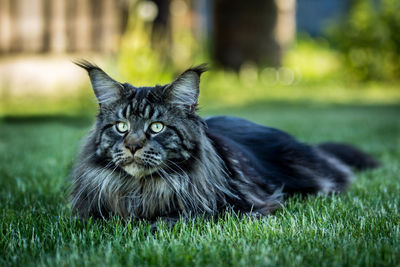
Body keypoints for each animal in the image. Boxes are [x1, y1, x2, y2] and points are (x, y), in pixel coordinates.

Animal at [70, 61, 380, 224]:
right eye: (121, 127)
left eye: (157, 127)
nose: (132, 146)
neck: (142, 188)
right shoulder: (90, 213)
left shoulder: (237, 209)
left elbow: (170, 219)